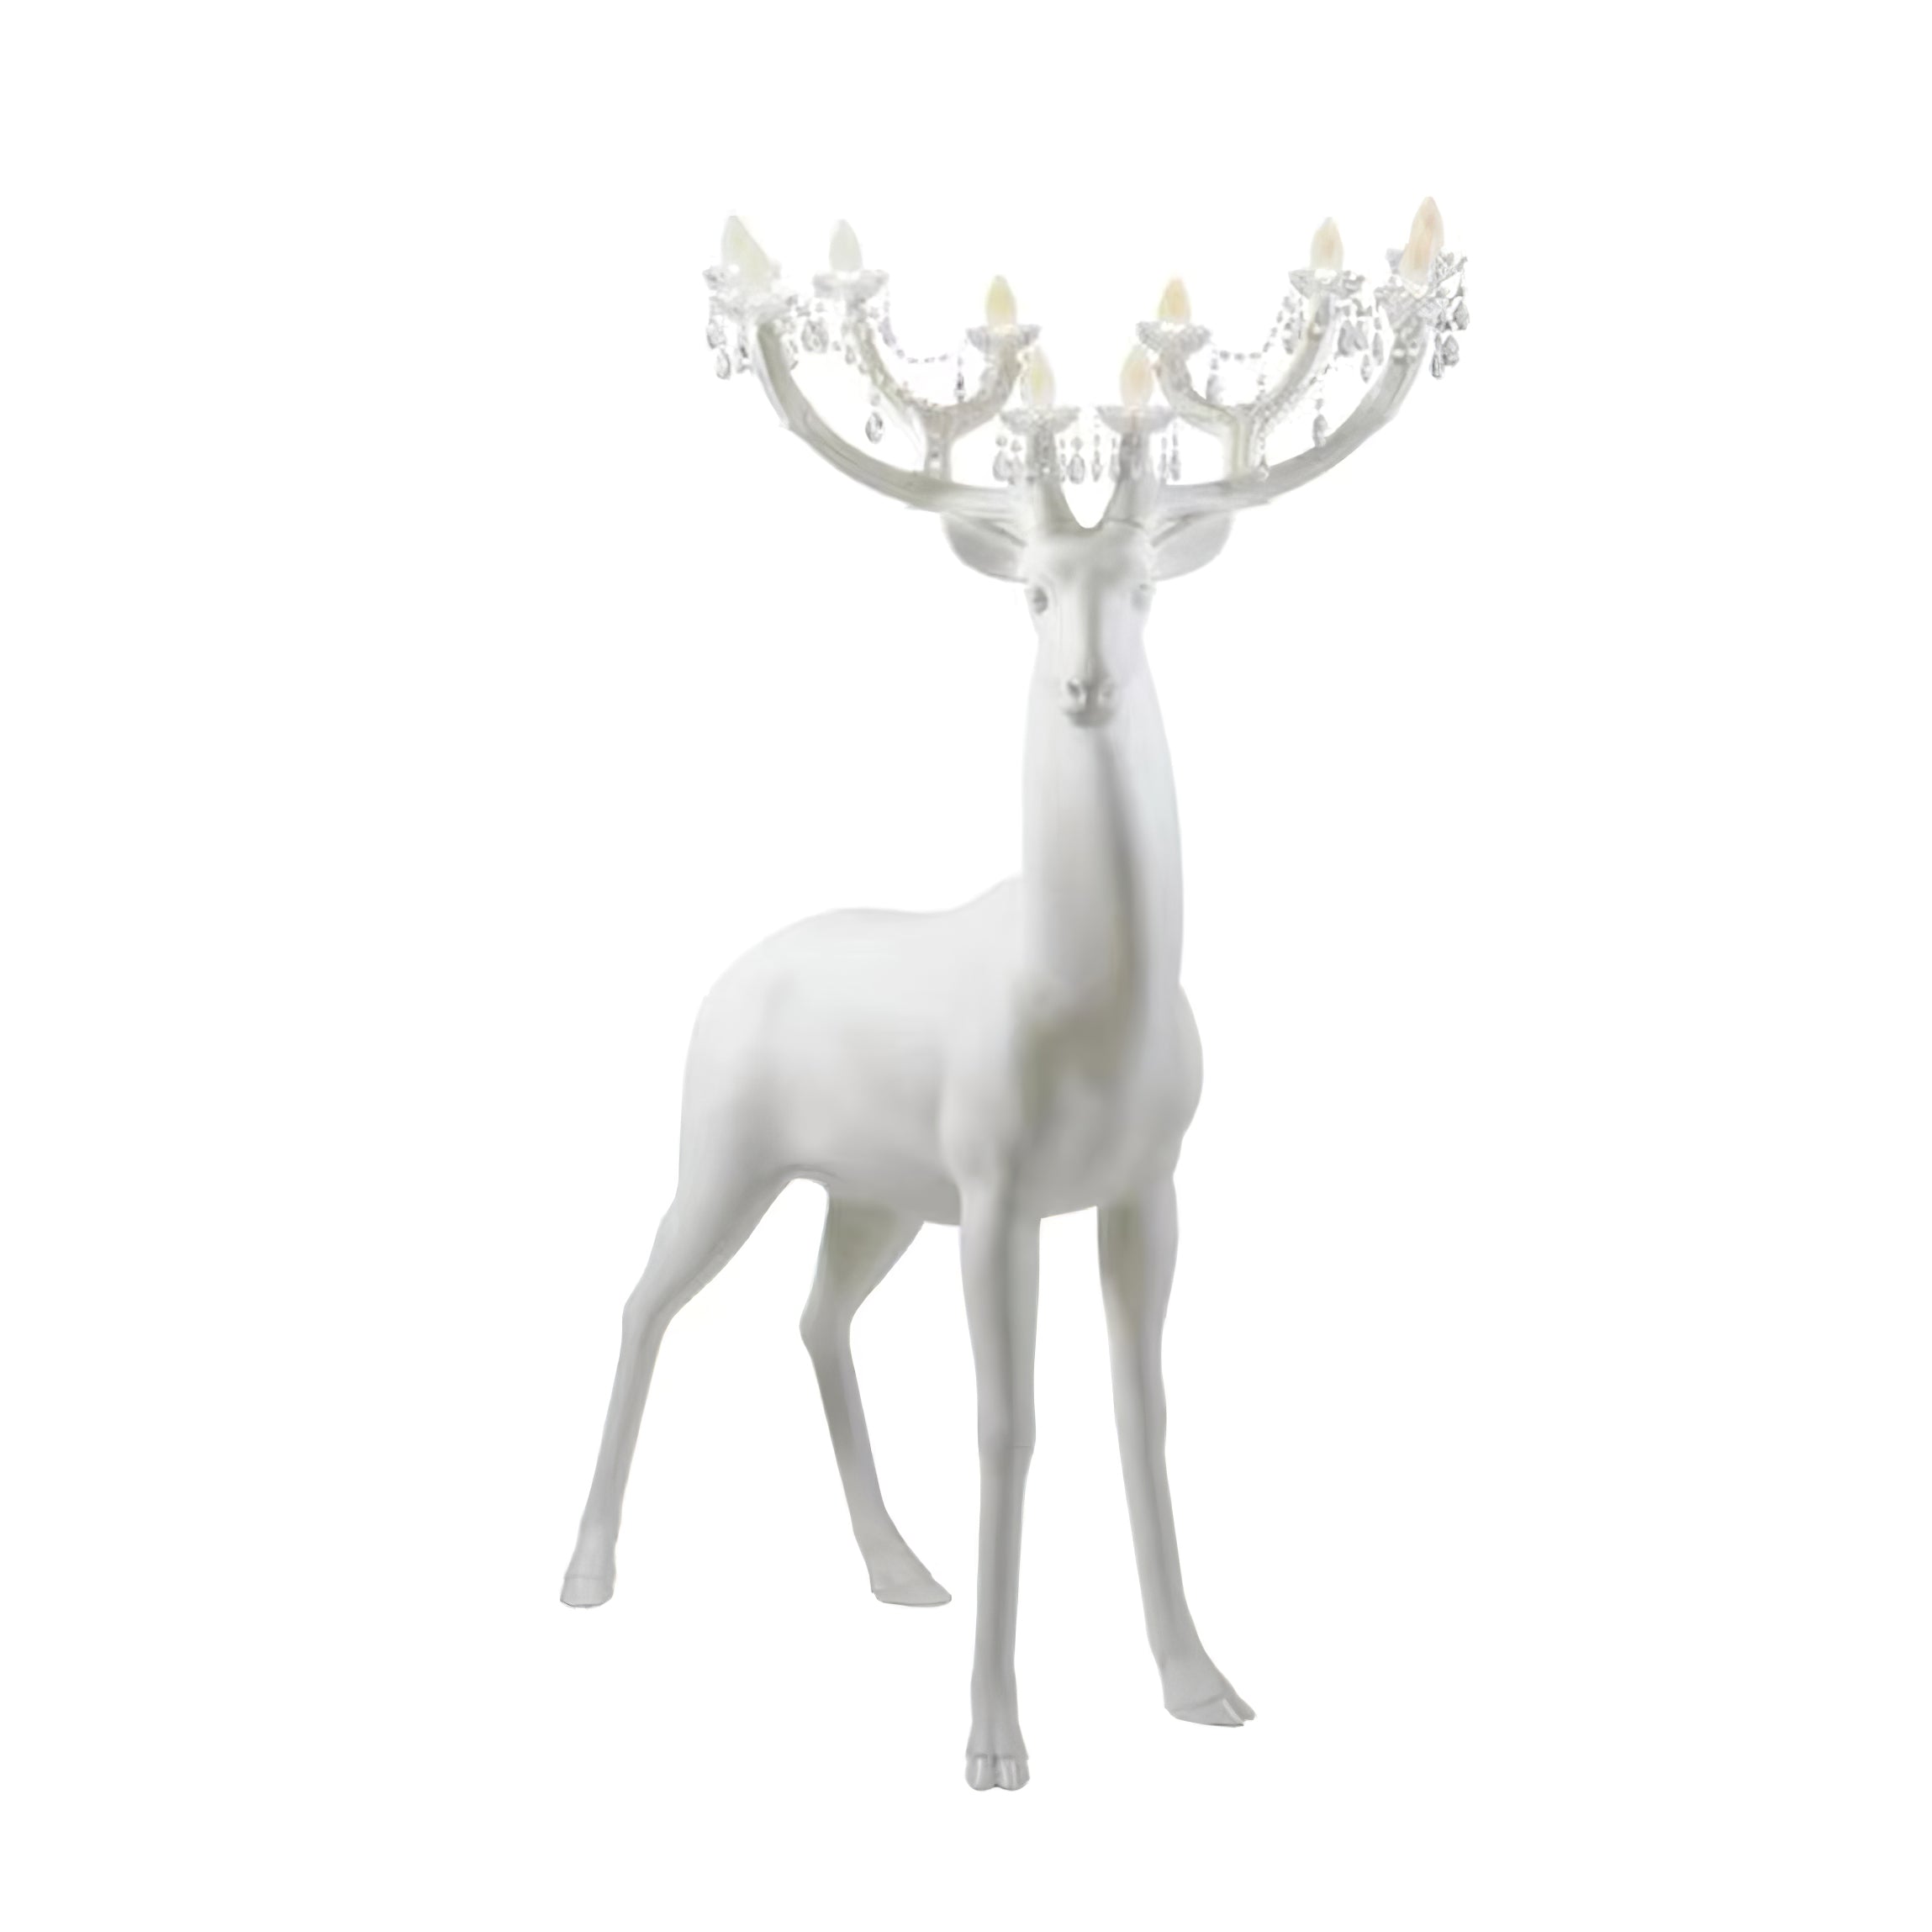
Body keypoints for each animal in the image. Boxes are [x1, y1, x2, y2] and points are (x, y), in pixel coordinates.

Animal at [562, 208, 1463, 1791]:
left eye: (1145, 588)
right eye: (1036, 593)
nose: (1087, 686)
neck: (1091, 1011)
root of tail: (731, 969)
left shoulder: (1146, 1182)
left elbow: (1140, 1407)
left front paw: (1200, 1680)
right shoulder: (993, 1187)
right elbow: (1005, 1419)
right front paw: (993, 1738)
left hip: (870, 1192)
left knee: (813, 1316)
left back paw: (896, 1567)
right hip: (725, 1150)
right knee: (640, 1298)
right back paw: (589, 1569)